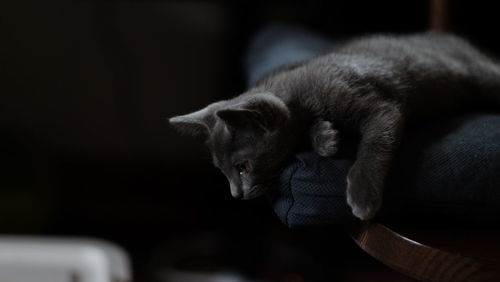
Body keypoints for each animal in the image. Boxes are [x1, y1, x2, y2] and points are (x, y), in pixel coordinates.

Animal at [170, 31, 500, 220]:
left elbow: (376, 141)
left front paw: (362, 195)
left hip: (479, 74)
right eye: (223, 172)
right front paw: (324, 137)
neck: (301, 92)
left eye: (244, 167)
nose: (235, 196)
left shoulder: (379, 107)